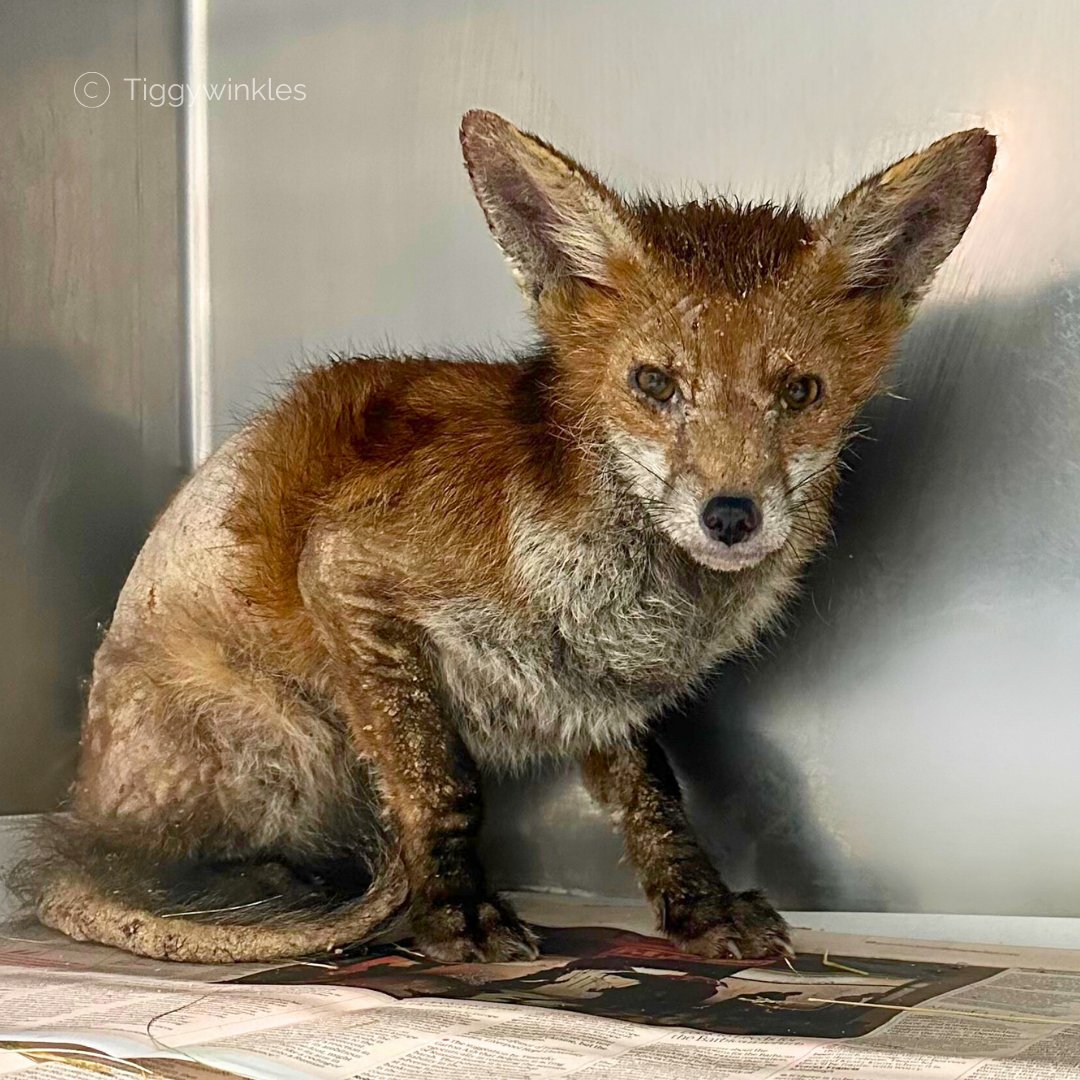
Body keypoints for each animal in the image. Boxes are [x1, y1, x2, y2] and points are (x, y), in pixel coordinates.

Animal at [18, 111, 995, 964]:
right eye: (654, 383)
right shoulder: (352, 572)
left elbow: (657, 800)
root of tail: (78, 803)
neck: (629, 600)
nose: (731, 515)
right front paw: (454, 911)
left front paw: (700, 906)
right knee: (136, 867)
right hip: (290, 733)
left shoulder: (598, 693)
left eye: (799, 392)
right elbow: (441, 784)